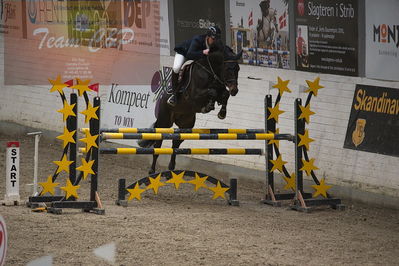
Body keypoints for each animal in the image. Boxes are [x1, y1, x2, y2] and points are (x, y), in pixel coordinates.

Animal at [139, 45, 242, 175]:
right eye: (228, 68)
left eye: (238, 68)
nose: (235, 90)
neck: (210, 71)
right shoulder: (195, 95)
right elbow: (212, 92)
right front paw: (209, 106)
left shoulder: (220, 90)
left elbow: (224, 94)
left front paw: (222, 113)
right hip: (164, 122)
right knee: (158, 143)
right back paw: (152, 170)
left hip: (186, 125)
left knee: (176, 143)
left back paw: (171, 167)